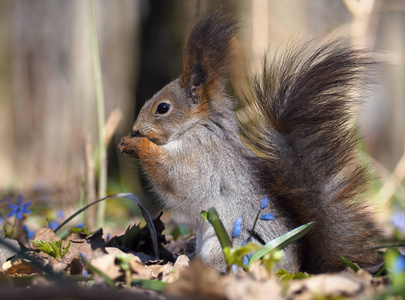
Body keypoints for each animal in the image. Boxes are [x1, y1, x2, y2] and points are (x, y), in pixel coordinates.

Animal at [119, 10, 382, 274]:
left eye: (162, 108)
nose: (136, 129)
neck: (195, 125)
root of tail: (297, 269)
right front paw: (125, 142)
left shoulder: (200, 155)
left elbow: (173, 175)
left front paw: (137, 145)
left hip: (233, 245)